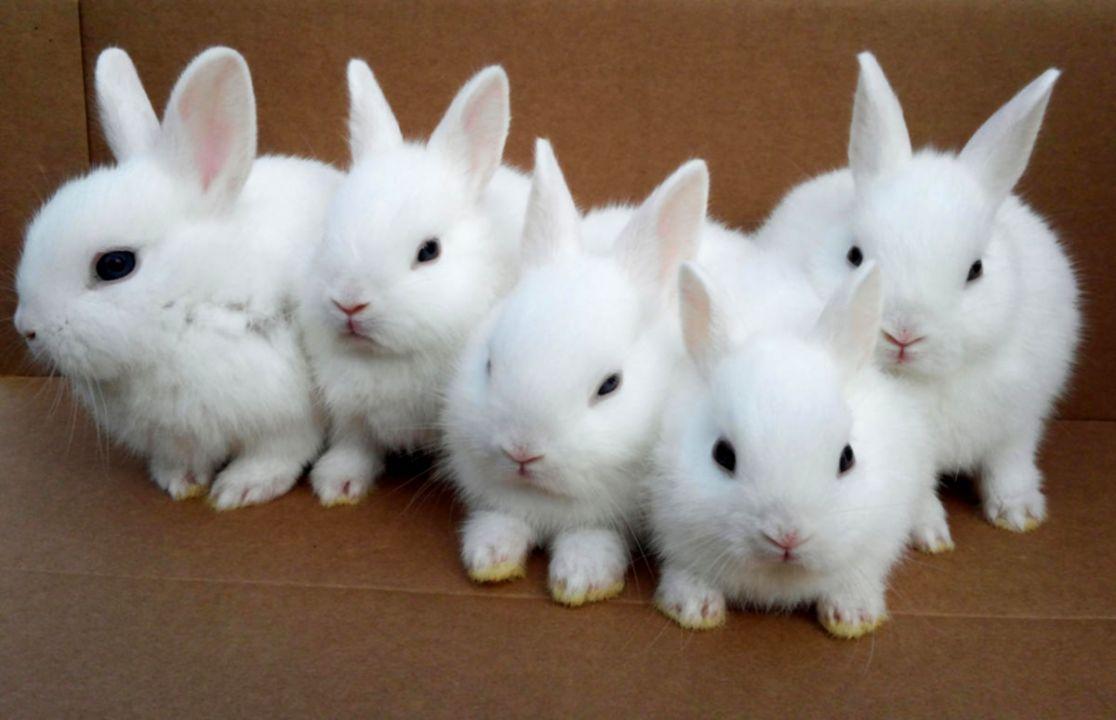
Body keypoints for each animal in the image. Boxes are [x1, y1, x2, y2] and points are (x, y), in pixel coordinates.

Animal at [13, 47, 341, 509]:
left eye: (115, 265)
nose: (27, 328)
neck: (194, 302)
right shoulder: (178, 433)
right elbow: (184, 458)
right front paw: (181, 482)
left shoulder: (287, 415)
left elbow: (277, 454)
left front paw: (240, 489)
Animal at [300, 60, 530, 506]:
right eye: (325, 233)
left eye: (429, 251)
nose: (350, 303)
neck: (386, 358)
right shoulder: (351, 410)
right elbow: (355, 442)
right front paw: (337, 483)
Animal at [442, 139, 716, 607]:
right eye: (489, 363)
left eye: (610, 386)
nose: (522, 450)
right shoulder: (501, 500)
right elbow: (500, 520)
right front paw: (489, 558)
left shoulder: (606, 519)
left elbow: (590, 538)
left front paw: (581, 581)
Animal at [650, 260, 943, 637]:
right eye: (722, 455)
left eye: (847, 458)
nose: (787, 536)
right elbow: (685, 571)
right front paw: (693, 609)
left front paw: (853, 618)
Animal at [755, 52, 1081, 532]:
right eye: (854, 255)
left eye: (975, 270)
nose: (903, 333)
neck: (923, 382)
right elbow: (916, 493)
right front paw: (930, 531)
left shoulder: (1020, 420)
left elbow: (1010, 464)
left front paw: (1019, 515)